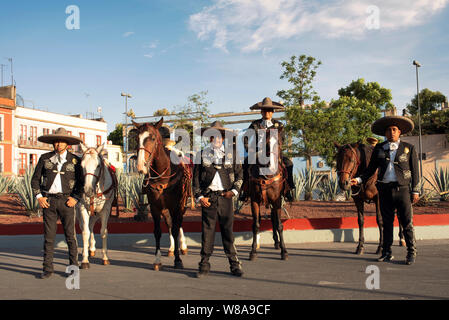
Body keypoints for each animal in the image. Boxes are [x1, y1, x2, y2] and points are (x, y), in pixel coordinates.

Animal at [131, 118, 191, 270]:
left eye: (152, 138)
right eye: (137, 138)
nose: (140, 166)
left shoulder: (176, 205)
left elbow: (175, 229)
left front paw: (178, 260)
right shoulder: (155, 207)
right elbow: (158, 231)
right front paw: (157, 260)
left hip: (182, 204)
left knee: (178, 223)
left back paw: (182, 246)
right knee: (171, 223)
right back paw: (171, 248)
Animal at [245, 125, 288, 260]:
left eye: (279, 142)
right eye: (266, 143)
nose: (271, 164)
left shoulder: (277, 200)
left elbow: (279, 224)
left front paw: (284, 251)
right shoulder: (254, 201)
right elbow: (256, 225)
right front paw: (253, 251)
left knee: (274, 219)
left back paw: (277, 243)